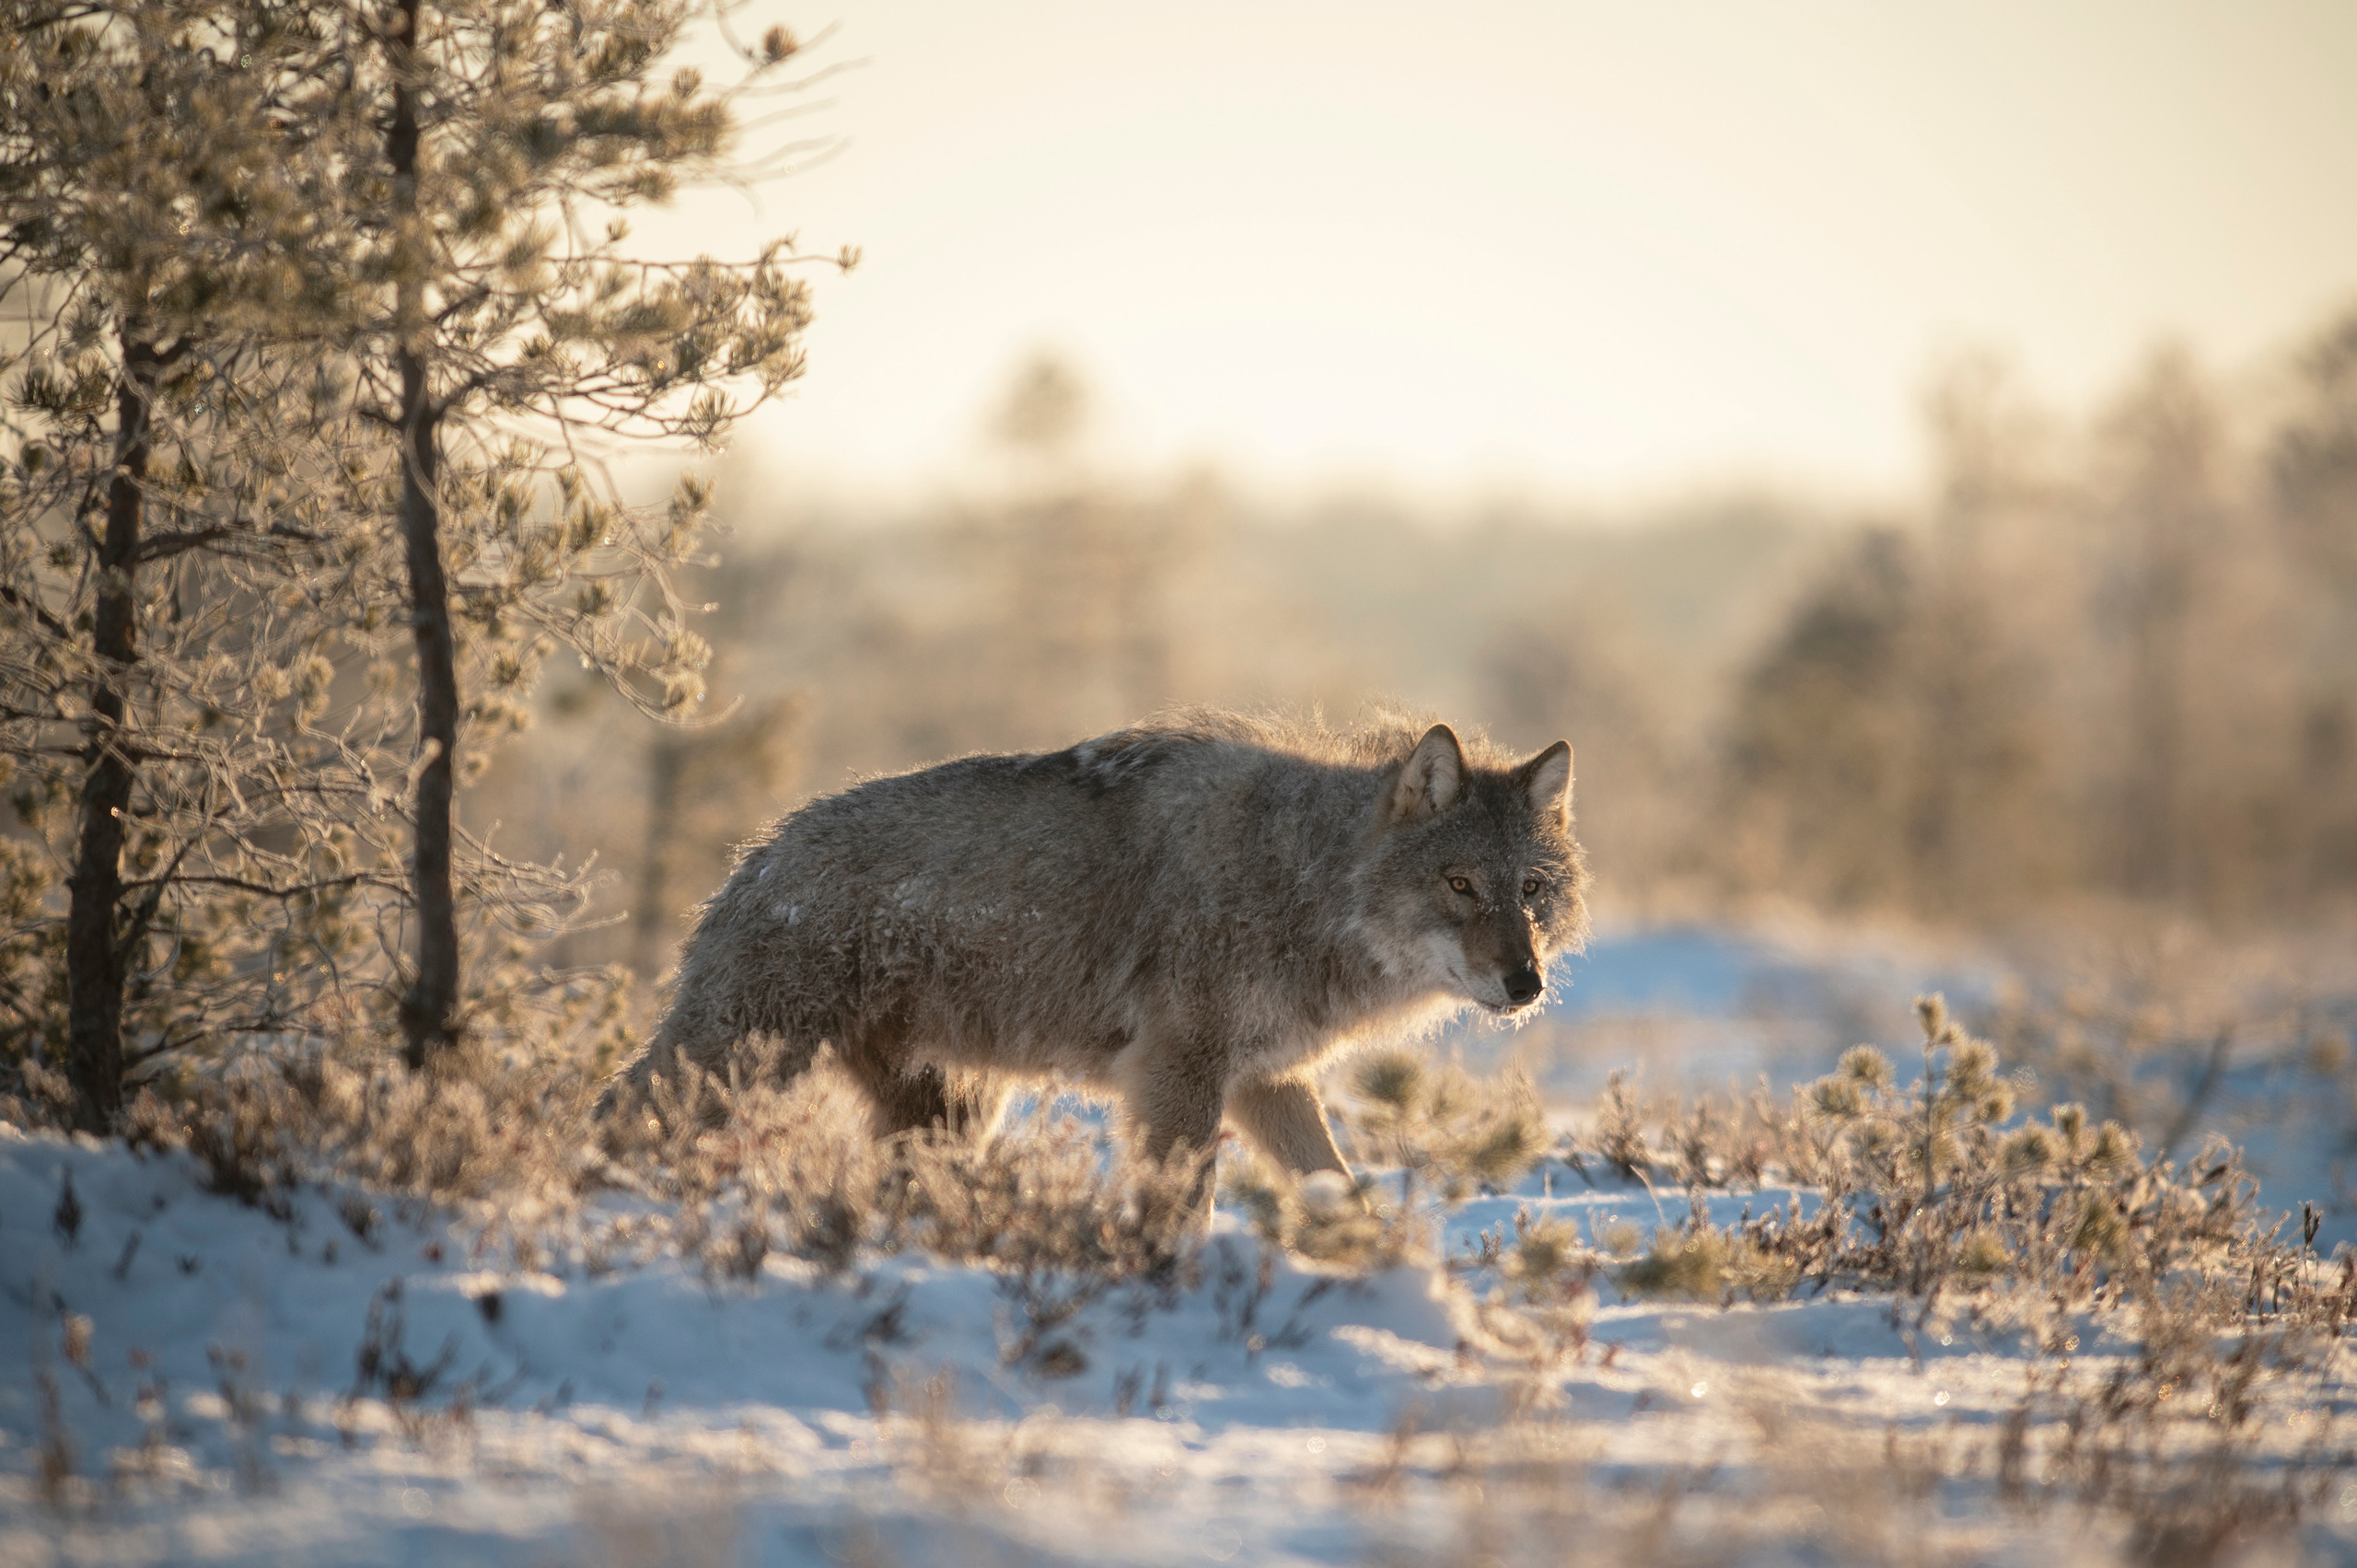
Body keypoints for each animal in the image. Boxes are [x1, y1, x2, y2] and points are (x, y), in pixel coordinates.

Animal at [613, 712, 1589, 1190]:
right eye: (1460, 884)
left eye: (1530, 890)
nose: (1525, 981)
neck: (1306, 882)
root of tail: (757, 855)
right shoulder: (1178, 1077)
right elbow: (1180, 1211)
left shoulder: (1267, 1082)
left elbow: (1340, 1193)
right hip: (736, 1068)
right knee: (611, 1115)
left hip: (951, 1114)